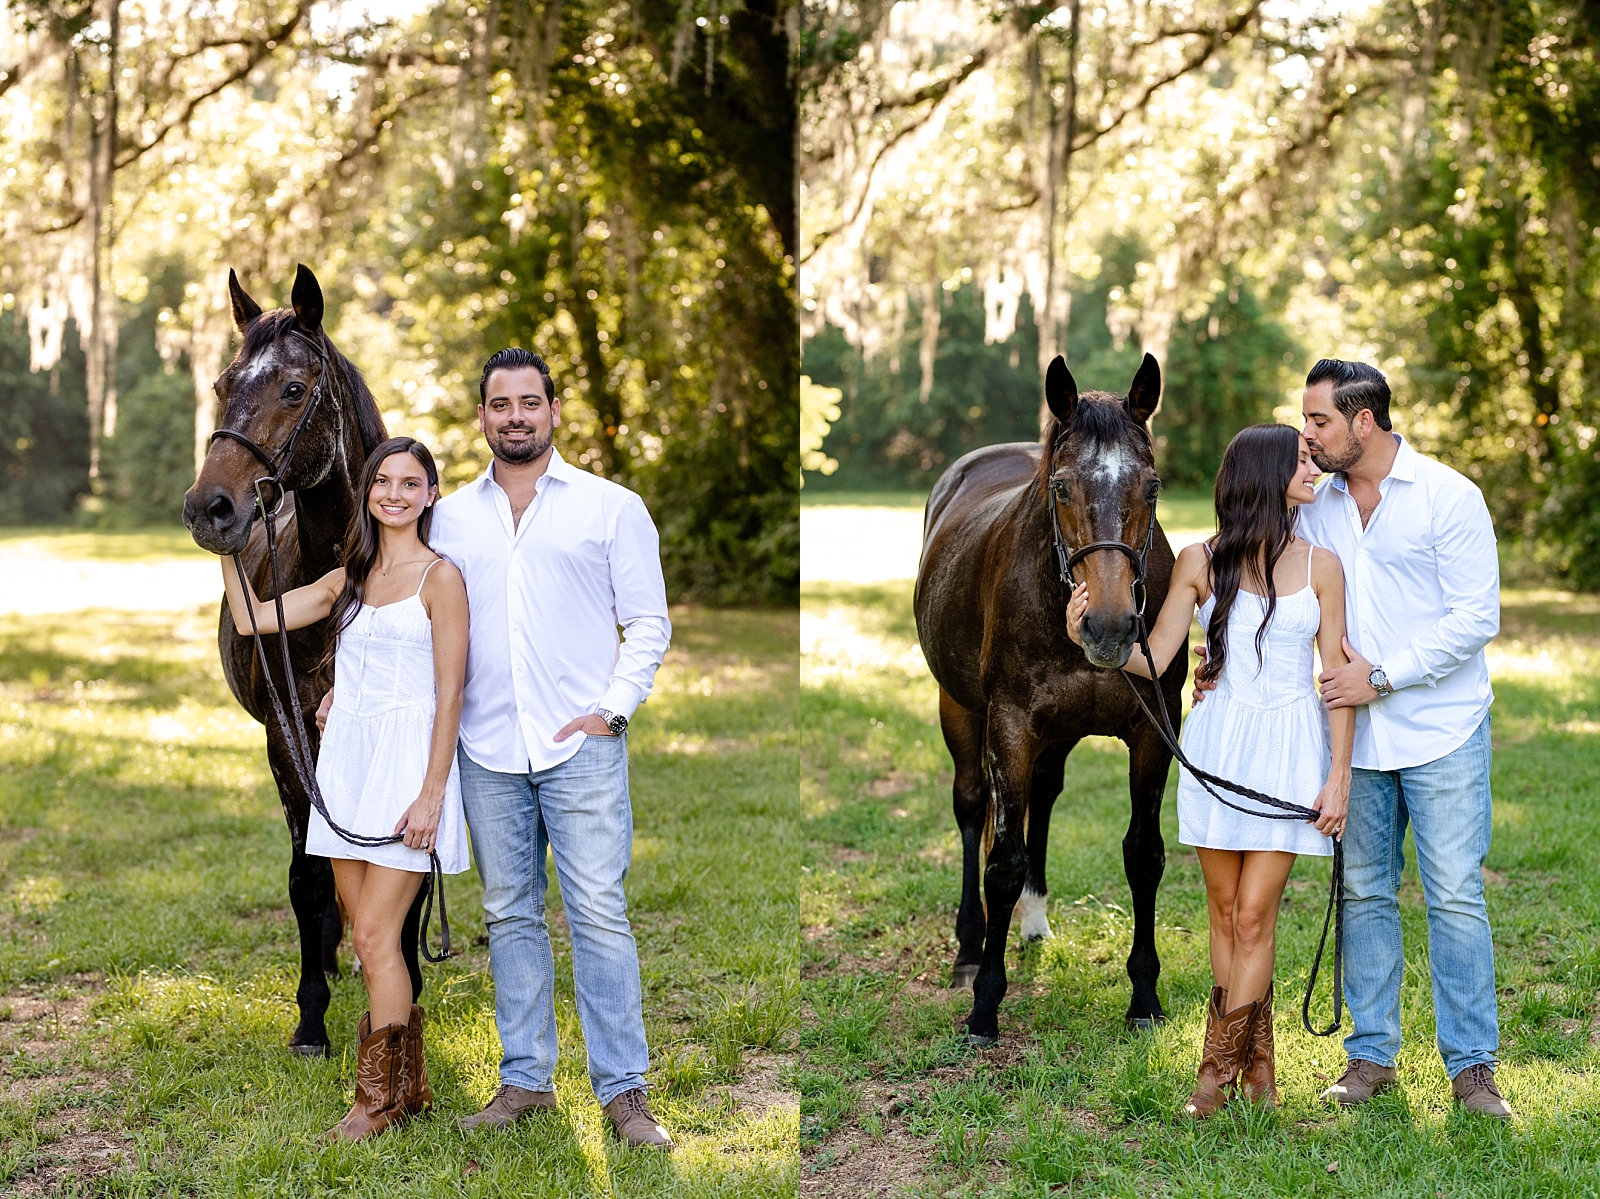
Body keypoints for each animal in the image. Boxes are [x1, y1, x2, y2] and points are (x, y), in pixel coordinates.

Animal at [915, 350, 1190, 1043]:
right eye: (1061, 487)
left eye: (1152, 487)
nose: (1111, 627)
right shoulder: (1010, 724)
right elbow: (1002, 860)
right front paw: (985, 1003)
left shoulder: (1154, 729)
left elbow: (1143, 855)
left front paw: (1144, 997)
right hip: (959, 709)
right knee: (972, 809)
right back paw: (969, 947)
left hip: (1057, 733)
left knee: (1042, 797)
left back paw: (1033, 921)